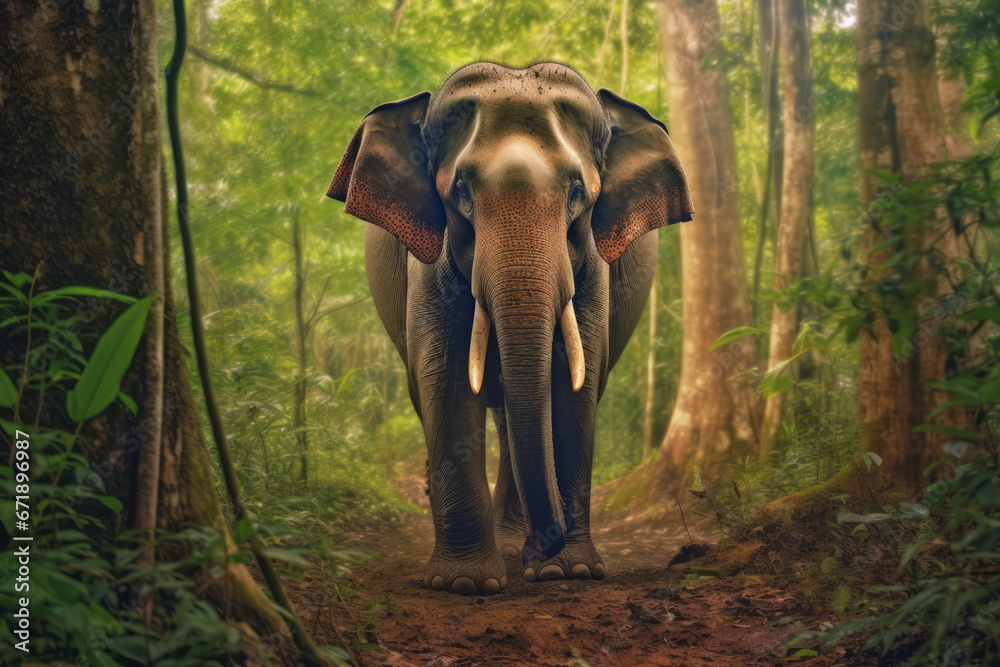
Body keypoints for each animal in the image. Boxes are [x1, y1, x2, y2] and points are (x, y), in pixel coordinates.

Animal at [327, 62, 693, 595]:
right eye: (460, 190)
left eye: (577, 191)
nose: (551, 540)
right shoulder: (429, 264)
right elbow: (445, 378)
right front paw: (464, 583)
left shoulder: (592, 268)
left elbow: (574, 384)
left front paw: (569, 571)